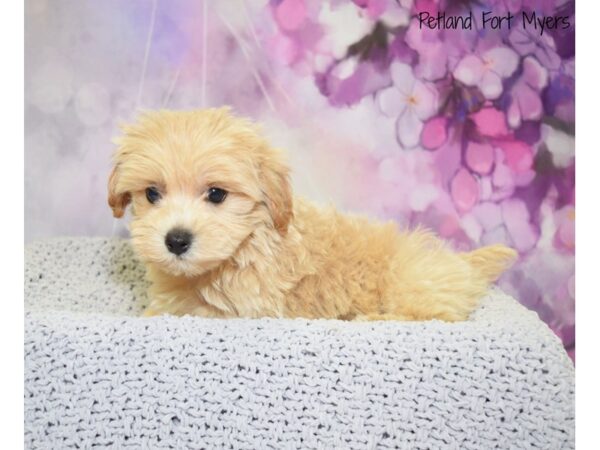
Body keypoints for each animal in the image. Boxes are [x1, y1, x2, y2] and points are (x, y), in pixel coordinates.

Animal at [109, 107, 516, 322]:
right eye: (151, 194)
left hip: (413, 282)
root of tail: (460, 264)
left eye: (216, 194)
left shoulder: (248, 309)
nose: (176, 240)